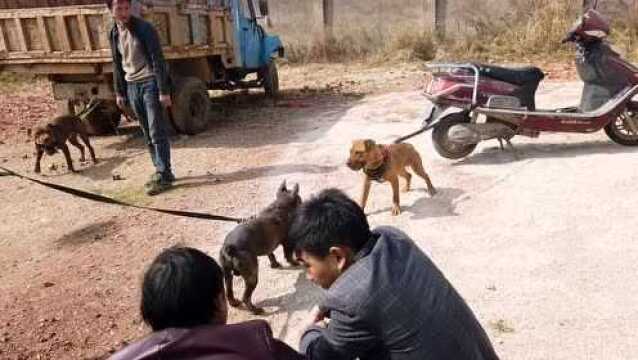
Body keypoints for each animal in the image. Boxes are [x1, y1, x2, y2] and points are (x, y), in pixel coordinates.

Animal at [221, 181, 304, 314]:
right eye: (300, 200)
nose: (303, 203)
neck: (280, 205)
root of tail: (230, 248)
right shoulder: (288, 242)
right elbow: (288, 254)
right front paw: (295, 262)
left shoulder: (268, 246)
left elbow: (271, 254)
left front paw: (275, 264)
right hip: (252, 275)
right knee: (246, 297)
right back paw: (255, 310)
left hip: (227, 274)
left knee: (229, 290)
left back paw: (234, 302)